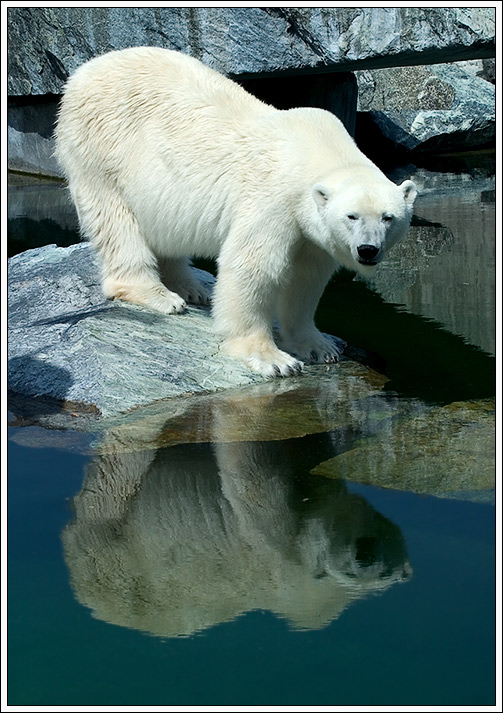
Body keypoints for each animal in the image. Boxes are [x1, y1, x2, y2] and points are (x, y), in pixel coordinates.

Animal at [55, 46, 418, 376]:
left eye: (388, 218)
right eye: (351, 216)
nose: (368, 250)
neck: (317, 148)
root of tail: (83, 72)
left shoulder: (311, 232)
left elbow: (306, 278)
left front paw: (319, 346)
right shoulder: (273, 199)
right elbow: (255, 268)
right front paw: (273, 359)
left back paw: (192, 288)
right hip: (100, 147)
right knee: (115, 222)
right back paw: (159, 295)